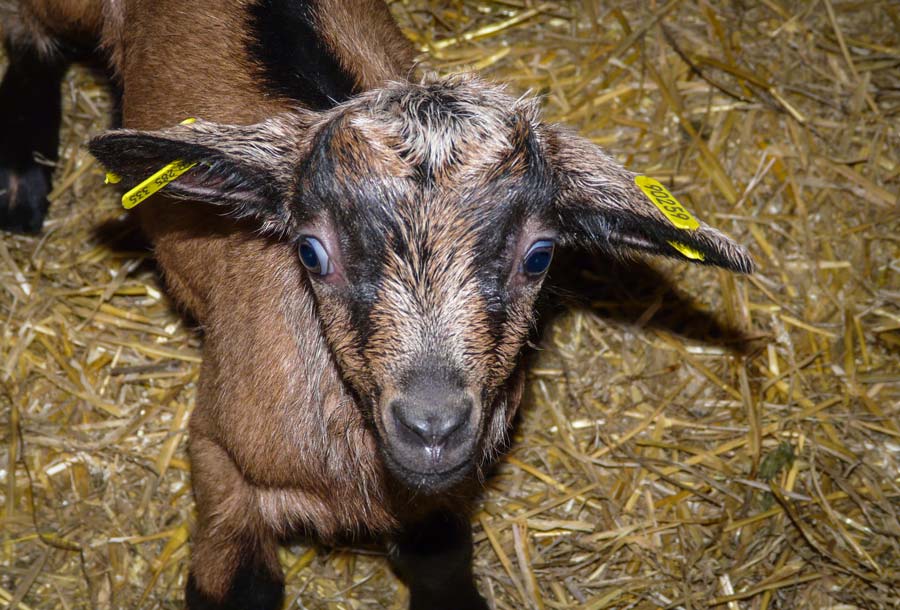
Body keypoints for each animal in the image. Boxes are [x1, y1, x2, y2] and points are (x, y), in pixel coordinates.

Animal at [1, 2, 752, 604]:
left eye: (540, 256)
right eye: (310, 252)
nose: (431, 424)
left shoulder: (447, 492)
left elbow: (441, 564)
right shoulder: (218, 460)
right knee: (31, 26)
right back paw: (20, 182)